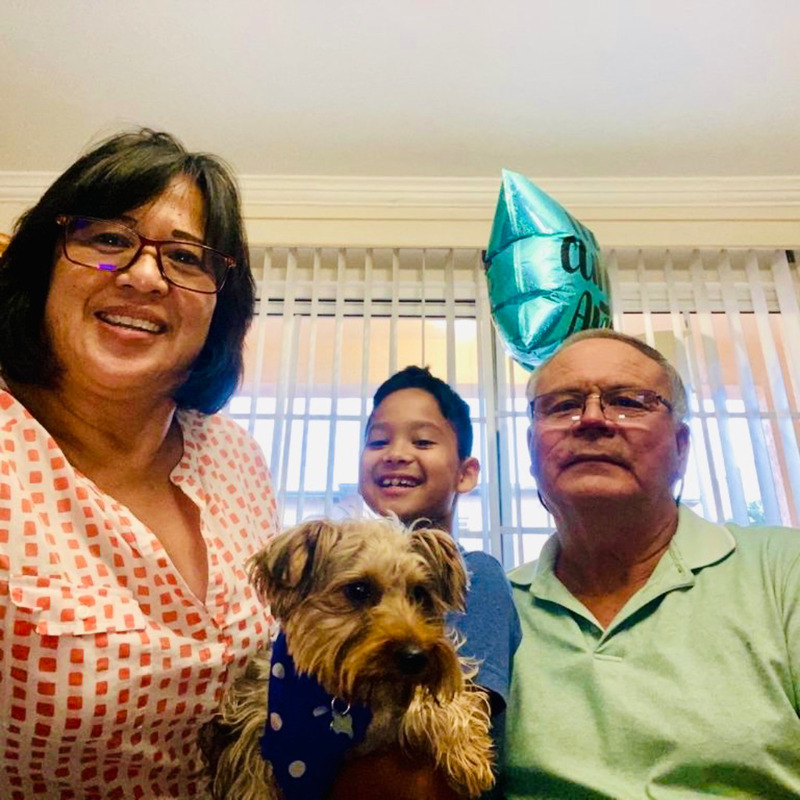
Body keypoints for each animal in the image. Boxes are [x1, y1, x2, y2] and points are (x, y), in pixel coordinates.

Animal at [200, 517, 494, 799]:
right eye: (359, 590)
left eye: (419, 593)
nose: (415, 657)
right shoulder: (253, 742)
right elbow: (253, 785)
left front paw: (467, 752)